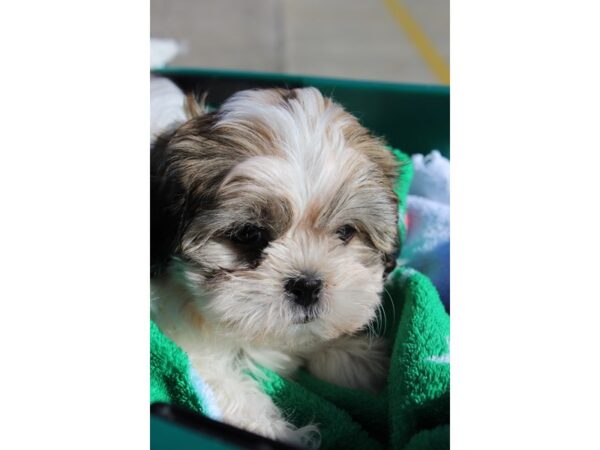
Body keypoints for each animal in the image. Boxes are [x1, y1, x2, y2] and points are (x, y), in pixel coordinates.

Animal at [151, 87, 398, 446]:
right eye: (249, 234)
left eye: (345, 232)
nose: (307, 285)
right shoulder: (180, 342)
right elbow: (219, 380)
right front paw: (276, 431)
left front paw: (362, 361)